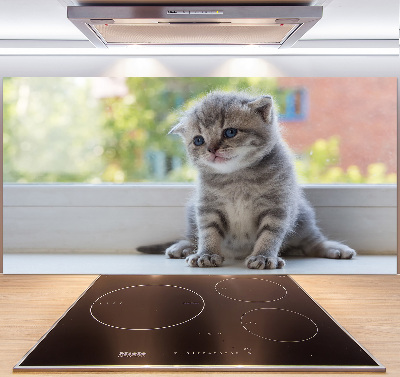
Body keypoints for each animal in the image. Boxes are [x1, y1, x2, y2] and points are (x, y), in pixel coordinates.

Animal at [144, 90, 356, 268]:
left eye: (230, 132)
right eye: (198, 140)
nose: (211, 149)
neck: (237, 177)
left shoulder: (278, 206)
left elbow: (270, 234)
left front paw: (263, 256)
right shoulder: (207, 207)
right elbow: (207, 232)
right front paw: (206, 253)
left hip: (302, 216)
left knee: (313, 242)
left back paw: (334, 248)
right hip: (191, 211)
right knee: (192, 236)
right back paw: (183, 247)